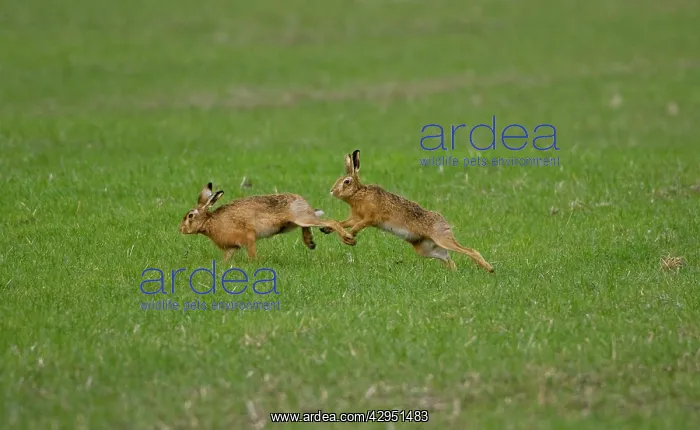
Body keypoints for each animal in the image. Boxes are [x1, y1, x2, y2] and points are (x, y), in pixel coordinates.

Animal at [180, 182, 356, 261]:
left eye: (190, 216)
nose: (180, 229)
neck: (209, 222)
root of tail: (304, 203)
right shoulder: (231, 247)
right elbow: (227, 258)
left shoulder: (249, 235)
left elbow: (251, 252)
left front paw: (254, 263)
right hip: (297, 222)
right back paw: (310, 242)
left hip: (302, 218)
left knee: (331, 222)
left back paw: (348, 239)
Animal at [320, 150, 494, 272]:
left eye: (346, 182)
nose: (332, 191)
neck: (358, 194)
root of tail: (444, 222)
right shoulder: (355, 217)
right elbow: (342, 222)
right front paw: (327, 229)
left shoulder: (371, 217)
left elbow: (359, 225)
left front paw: (350, 237)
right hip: (426, 249)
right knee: (447, 257)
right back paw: (455, 273)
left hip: (442, 239)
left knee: (470, 250)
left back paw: (489, 269)